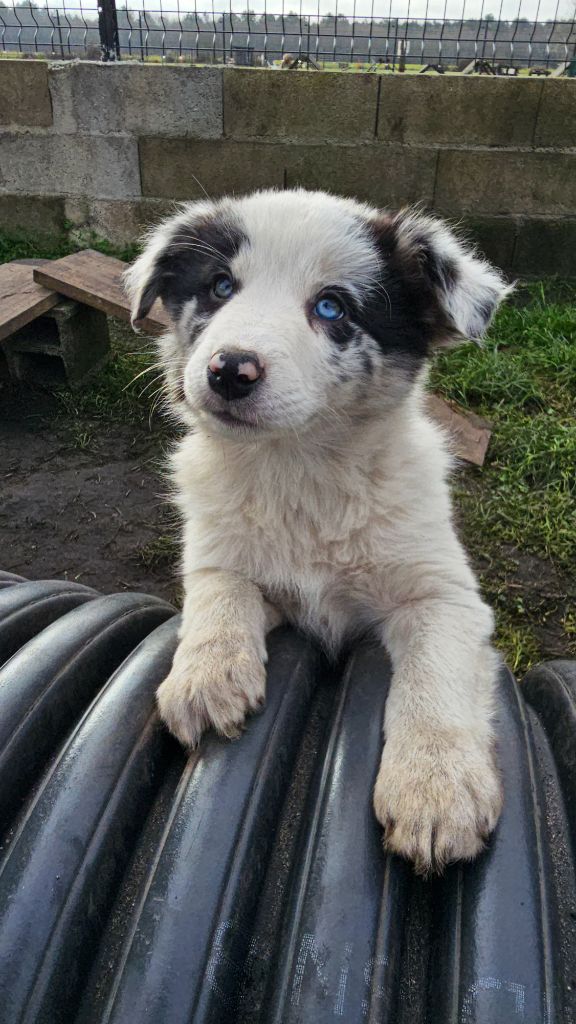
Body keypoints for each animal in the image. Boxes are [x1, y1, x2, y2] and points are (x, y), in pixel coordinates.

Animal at [126, 186, 510, 872]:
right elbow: (219, 589)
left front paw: (436, 790)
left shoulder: (443, 595)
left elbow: (433, 677)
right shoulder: (221, 555)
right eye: (220, 287)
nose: (229, 370)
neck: (298, 469)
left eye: (332, 307)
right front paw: (205, 675)